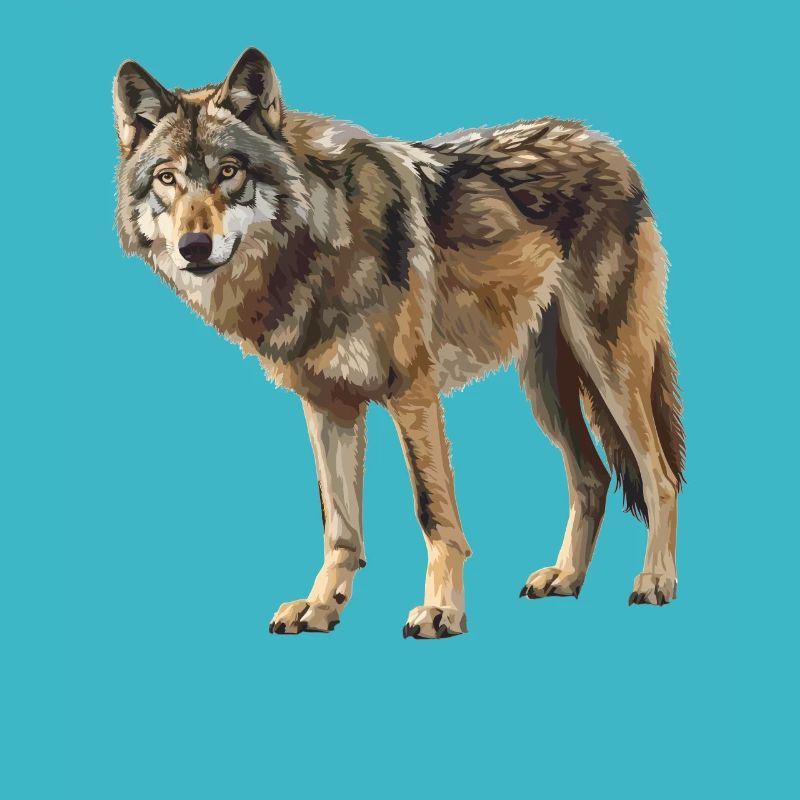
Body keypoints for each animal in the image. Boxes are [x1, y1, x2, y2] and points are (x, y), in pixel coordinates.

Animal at [113, 48, 685, 638]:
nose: (194, 246)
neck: (318, 246)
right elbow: (340, 526)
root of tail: (605, 143)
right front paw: (321, 606)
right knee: (592, 478)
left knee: (660, 477)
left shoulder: (413, 394)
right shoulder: (328, 406)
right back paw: (566, 577)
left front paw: (442, 610)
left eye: (229, 172)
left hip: (610, 367)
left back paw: (655, 581)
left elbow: (433, 513)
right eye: (166, 178)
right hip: (544, 388)